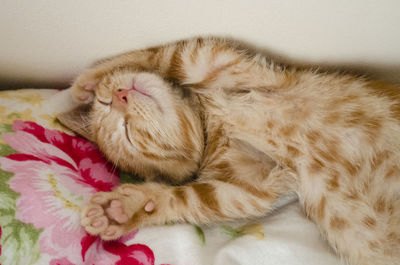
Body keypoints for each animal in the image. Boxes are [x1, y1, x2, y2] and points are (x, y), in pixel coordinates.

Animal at [62, 37, 400, 264]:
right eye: (127, 132)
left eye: (114, 112)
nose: (120, 96)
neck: (214, 128)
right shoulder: (248, 187)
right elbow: (192, 199)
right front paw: (122, 210)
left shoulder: (224, 65)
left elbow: (170, 56)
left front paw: (89, 81)